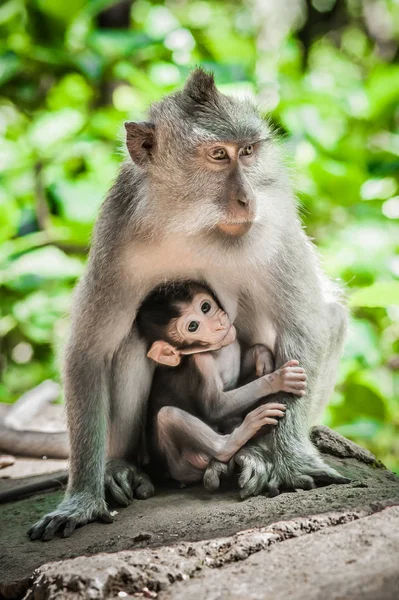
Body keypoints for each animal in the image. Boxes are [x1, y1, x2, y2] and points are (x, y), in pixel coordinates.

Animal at [136, 282, 308, 488]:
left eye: (205, 307)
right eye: (193, 326)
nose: (217, 323)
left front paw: (262, 356)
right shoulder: (202, 363)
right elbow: (214, 407)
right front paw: (279, 378)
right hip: (181, 464)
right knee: (168, 415)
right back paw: (238, 436)